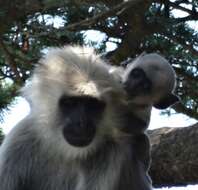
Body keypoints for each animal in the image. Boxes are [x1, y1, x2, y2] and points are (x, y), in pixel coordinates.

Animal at [0, 46, 152, 190]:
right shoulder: (20, 139)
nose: (81, 123)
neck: (66, 152)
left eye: (92, 104)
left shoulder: (112, 150)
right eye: (70, 103)